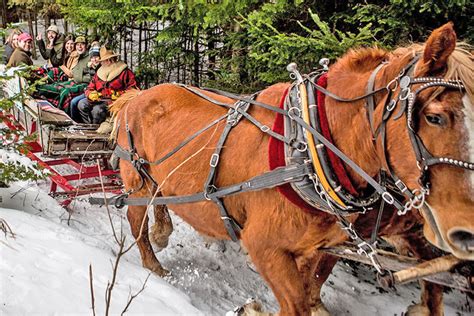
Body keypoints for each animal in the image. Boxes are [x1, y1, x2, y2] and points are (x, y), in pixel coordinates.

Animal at [110, 23, 470, 314]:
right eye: (435, 116)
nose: (463, 233)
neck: (310, 150)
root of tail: (136, 96)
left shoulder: (318, 246)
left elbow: (312, 289)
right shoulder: (265, 247)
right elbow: (298, 302)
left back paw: (162, 233)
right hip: (136, 180)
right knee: (135, 217)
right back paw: (153, 265)